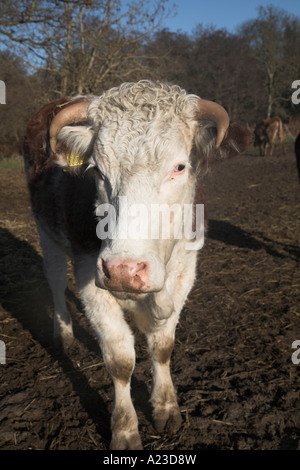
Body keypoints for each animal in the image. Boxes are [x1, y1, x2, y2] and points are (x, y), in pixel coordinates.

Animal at [23, 81, 252, 452]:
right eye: (97, 171)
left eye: (180, 167)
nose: (124, 270)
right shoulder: (91, 279)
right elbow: (120, 362)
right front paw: (125, 430)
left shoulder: (185, 273)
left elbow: (162, 347)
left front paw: (166, 406)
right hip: (47, 233)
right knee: (56, 283)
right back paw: (66, 334)